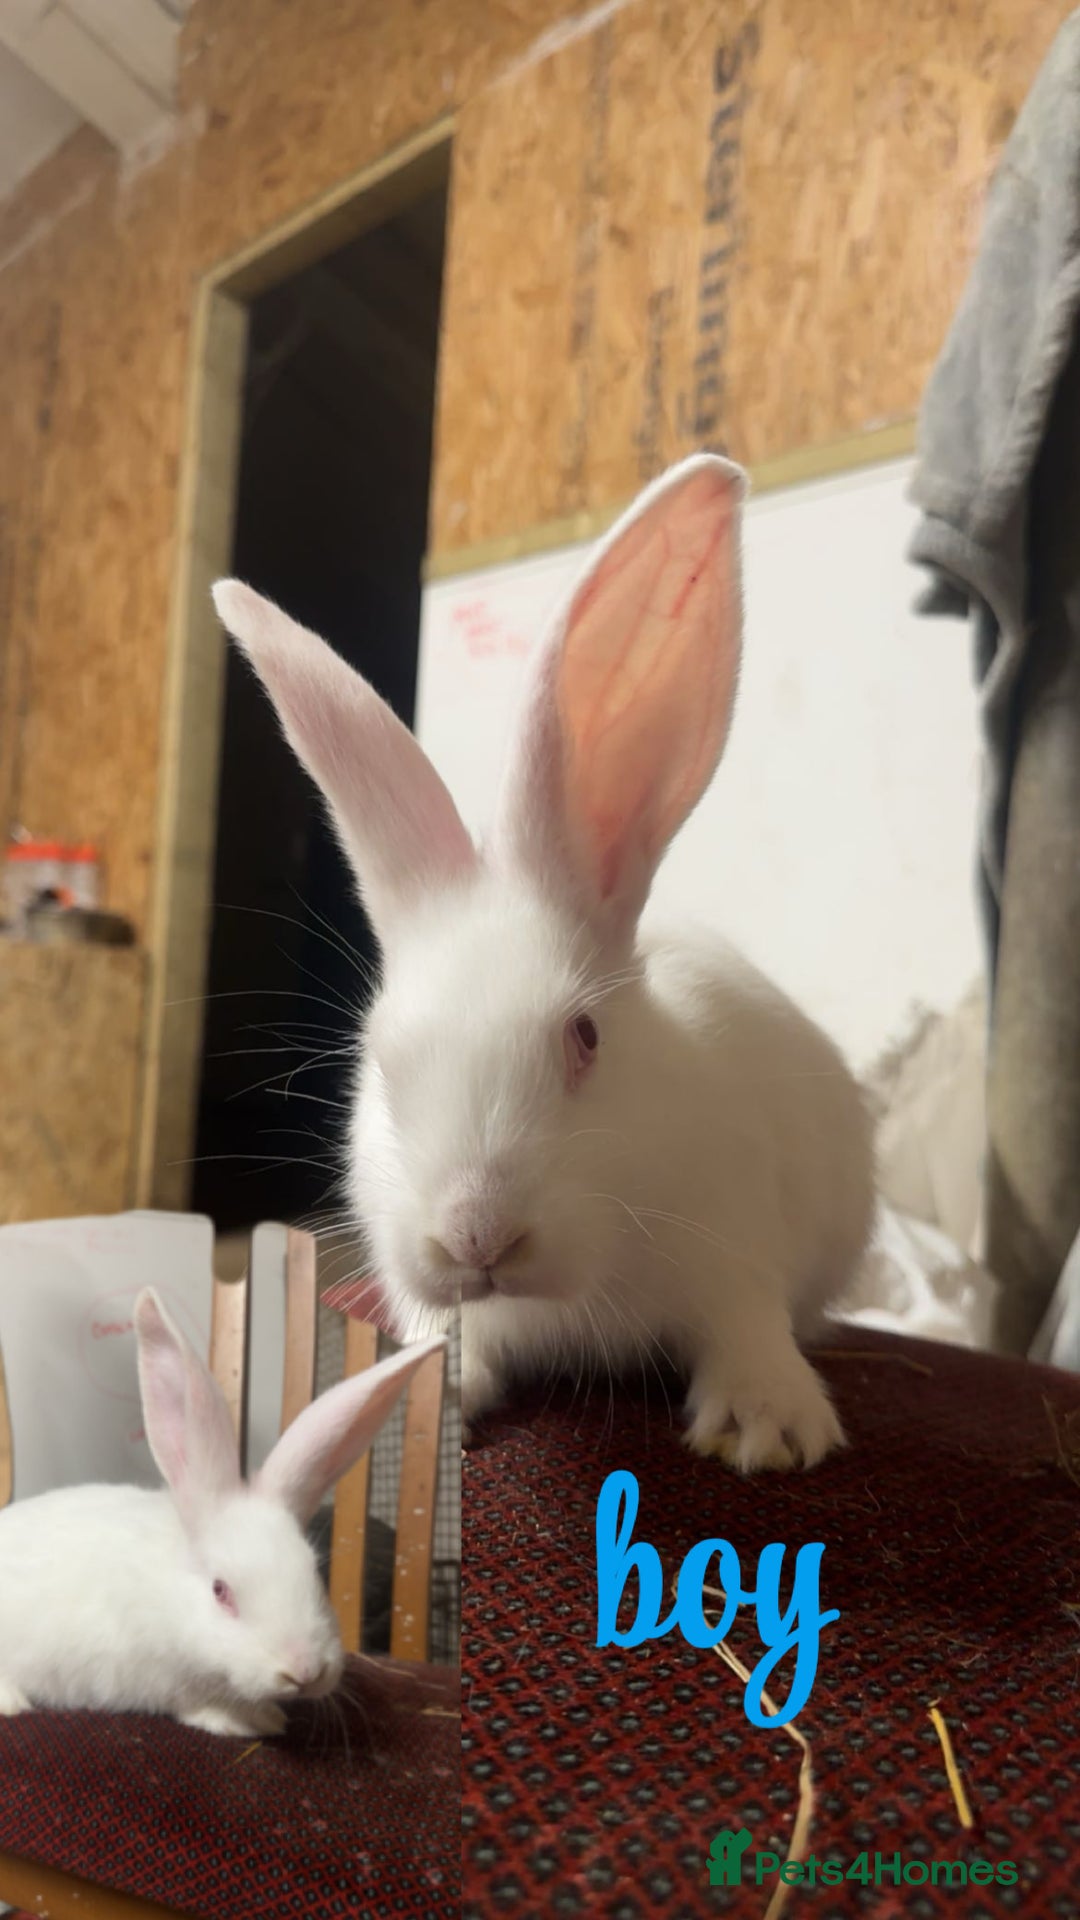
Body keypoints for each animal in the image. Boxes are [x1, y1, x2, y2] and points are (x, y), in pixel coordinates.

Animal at [0, 1287, 444, 1734]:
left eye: (317, 1574)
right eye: (220, 1591)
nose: (303, 1671)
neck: (165, 1590)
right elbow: (199, 1704)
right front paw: (252, 1722)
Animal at [212, 453, 875, 1474]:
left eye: (585, 1038)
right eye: (385, 1066)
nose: (476, 1235)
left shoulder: (738, 1255)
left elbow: (747, 1327)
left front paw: (767, 1430)